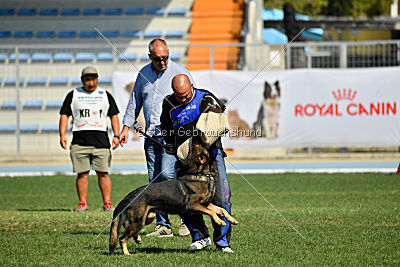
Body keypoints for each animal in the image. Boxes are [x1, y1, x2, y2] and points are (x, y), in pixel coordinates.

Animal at [108, 142, 238, 255]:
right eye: (199, 146)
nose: (195, 139)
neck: (201, 174)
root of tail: (128, 196)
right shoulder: (193, 206)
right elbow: (212, 212)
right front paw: (220, 221)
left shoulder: (206, 204)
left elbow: (221, 210)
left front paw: (231, 219)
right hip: (139, 220)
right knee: (122, 238)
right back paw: (126, 253)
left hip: (146, 218)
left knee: (129, 230)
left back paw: (138, 239)